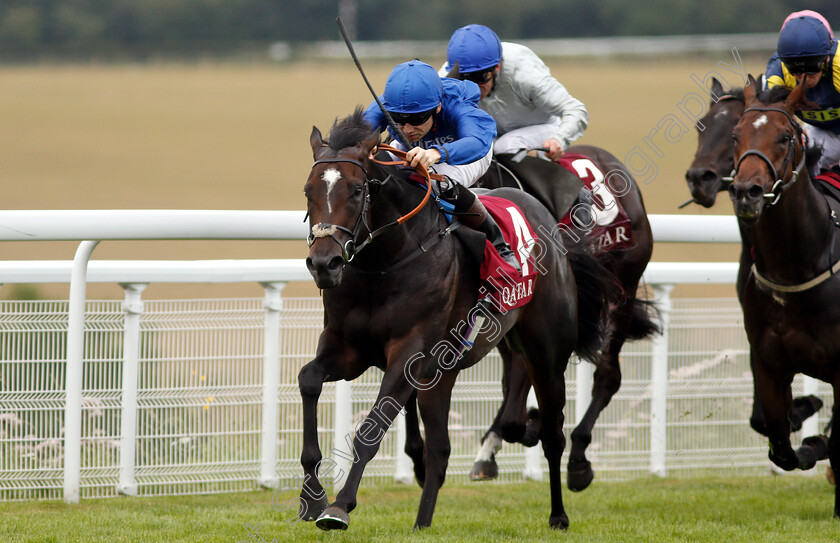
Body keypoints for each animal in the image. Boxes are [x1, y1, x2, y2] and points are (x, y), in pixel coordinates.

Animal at [296, 109, 612, 532]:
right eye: (308, 191)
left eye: (357, 190)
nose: (324, 263)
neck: (384, 263)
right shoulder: (348, 349)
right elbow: (309, 379)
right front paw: (312, 497)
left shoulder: (410, 355)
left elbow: (371, 428)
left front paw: (339, 507)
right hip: (442, 372)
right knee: (440, 450)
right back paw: (422, 522)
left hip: (547, 353)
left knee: (552, 433)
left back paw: (558, 512)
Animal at [724, 75, 836, 516]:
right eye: (735, 135)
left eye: (785, 137)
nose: (747, 192)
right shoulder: (768, 359)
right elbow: (779, 445)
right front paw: (806, 424)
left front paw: (817, 439)